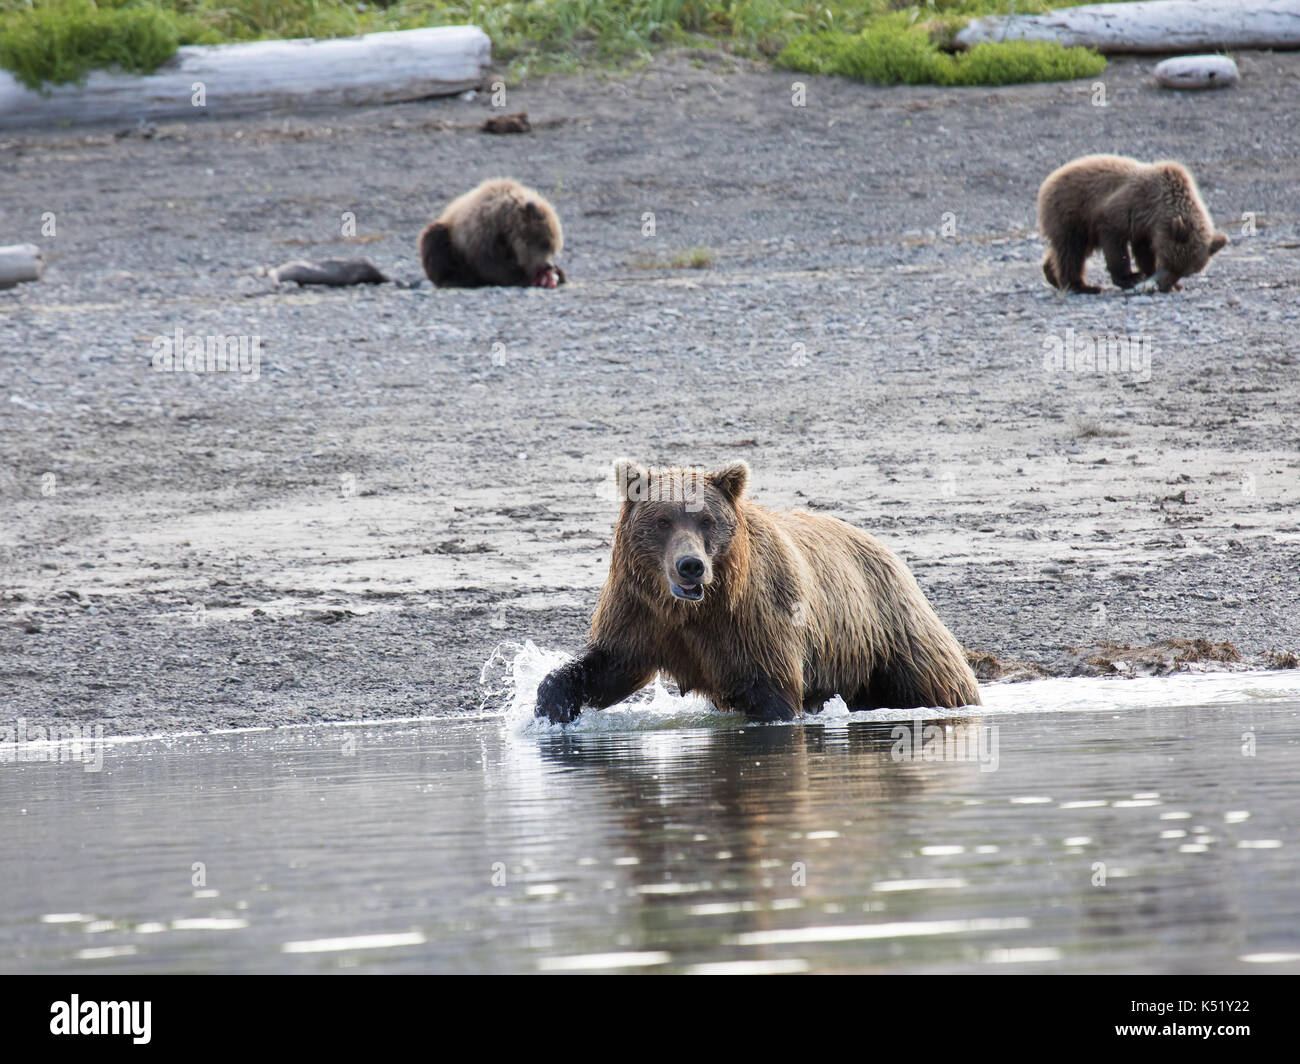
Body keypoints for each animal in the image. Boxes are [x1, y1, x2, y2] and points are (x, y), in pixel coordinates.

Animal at [533, 460, 977, 723]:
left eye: (707, 520)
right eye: (662, 520)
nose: (690, 565)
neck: (691, 610)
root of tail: (882, 547)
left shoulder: (754, 618)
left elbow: (772, 694)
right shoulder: (640, 612)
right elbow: (610, 665)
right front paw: (550, 706)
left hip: (889, 629)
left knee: (939, 681)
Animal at [1034, 151, 1227, 292]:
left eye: (1186, 272)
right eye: (1170, 263)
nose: (1165, 286)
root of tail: (1048, 181)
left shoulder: (1146, 228)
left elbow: (1144, 251)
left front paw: (1157, 277)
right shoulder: (1126, 208)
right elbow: (1115, 243)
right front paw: (1130, 277)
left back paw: (1052, 275)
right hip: (1073, 212)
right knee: (1072, 250)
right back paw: (1082, 286)